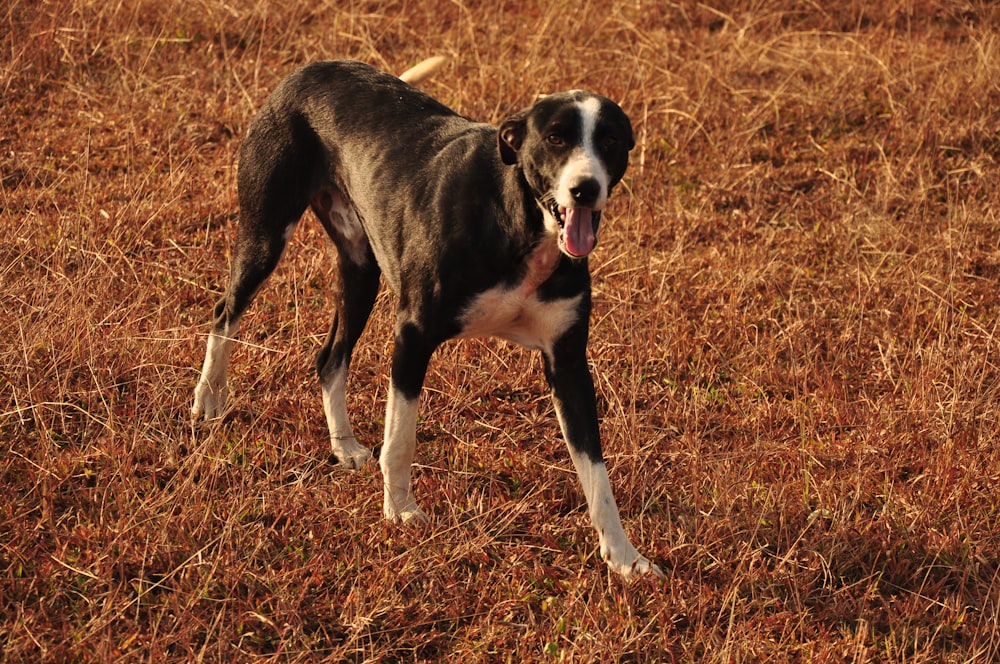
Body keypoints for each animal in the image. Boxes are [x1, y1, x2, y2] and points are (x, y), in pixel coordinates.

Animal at [192, 59, 664, 580]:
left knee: (329, 357)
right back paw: (208, 398)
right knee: (225, 312)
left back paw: (343, 445)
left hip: (361, 268)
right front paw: (400, 511)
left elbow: (598, 476)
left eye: (610, 141)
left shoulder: (569, 364)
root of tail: (309, 69)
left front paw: (625, 557)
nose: (585, 189)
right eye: (556, 138)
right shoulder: (413, 335)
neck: (518, 221)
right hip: (266, 235)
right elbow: (399, 440)